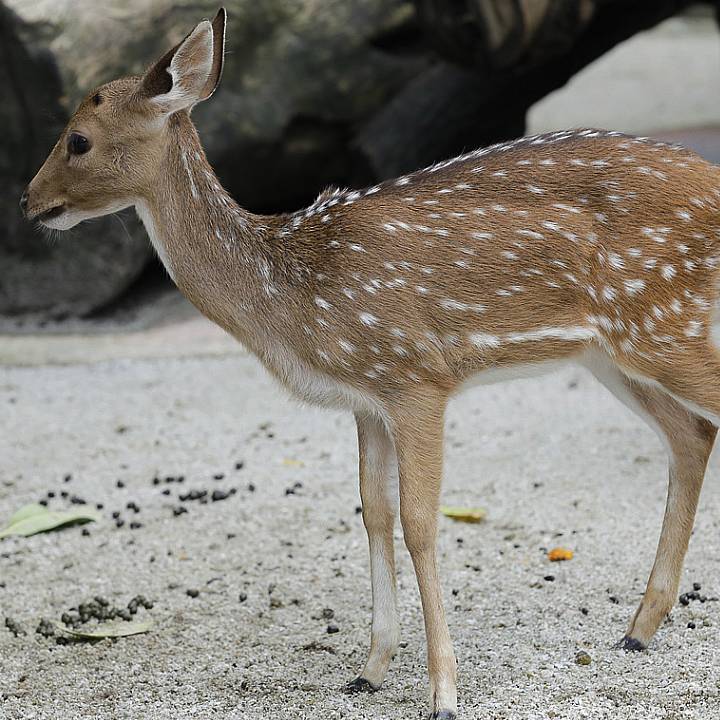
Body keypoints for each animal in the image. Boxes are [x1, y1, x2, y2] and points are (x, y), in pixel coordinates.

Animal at [19, 7, 720, 719]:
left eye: (77, 139)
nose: (27, 201)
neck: (289, 291)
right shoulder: (366, 400)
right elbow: (373, 513)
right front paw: (371, 669)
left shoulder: (417, 377)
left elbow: (419, 522)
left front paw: (443, 691)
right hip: (613, 352)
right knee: (691, 433)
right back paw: (637, 629)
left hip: (663, 324)